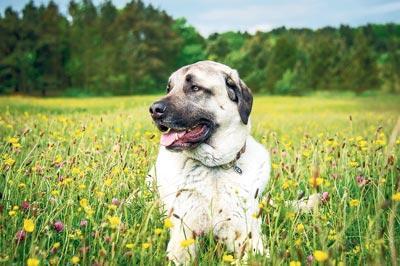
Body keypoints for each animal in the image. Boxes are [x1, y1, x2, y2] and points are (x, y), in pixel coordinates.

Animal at [148, 60, 272, 264]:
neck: (213, 168)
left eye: (195, 88)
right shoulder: (184, 233)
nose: (153, 110)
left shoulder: (247, 233)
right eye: (169, 88)